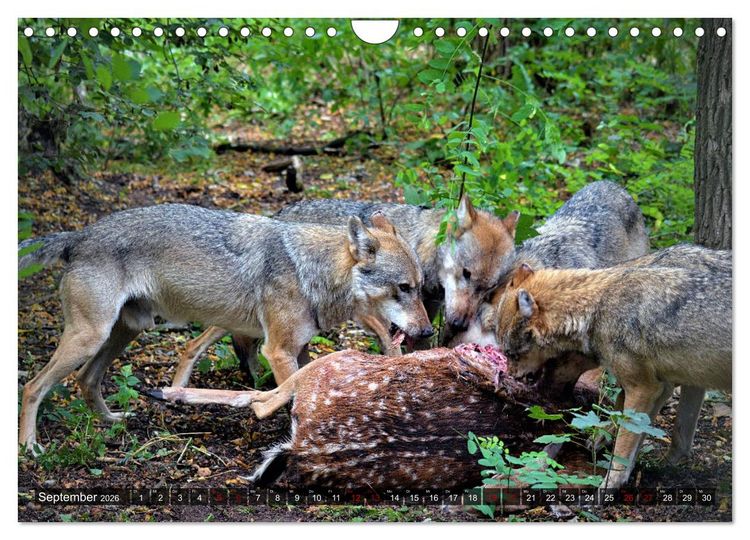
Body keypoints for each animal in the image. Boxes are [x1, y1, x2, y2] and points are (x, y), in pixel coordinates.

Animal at [18, 204, 432, 452]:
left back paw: (112, 422)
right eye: (404, 288)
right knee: (33, 386)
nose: (429, 333)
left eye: (420, 286)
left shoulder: (299, 351)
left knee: (86, 379)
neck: (312, 271)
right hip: (91, 337)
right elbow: (291, 394)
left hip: (124, 332)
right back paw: (29, 447)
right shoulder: (277, 351)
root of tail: (79, 235)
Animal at [173, 195, 520, 387]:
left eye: (489, 288)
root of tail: (281, 213)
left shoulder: (420, 321)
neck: (422, 248)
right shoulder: (380, 320)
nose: (459, 324)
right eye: (465, 274)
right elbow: (394, 351)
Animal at [494, 244, 732, 488]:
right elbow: (664, 435)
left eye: (511, 354)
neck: (596, 308)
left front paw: (610, 482)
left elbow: (624, 440)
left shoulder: (645, 388)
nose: (510, 376)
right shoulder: (672, 383)